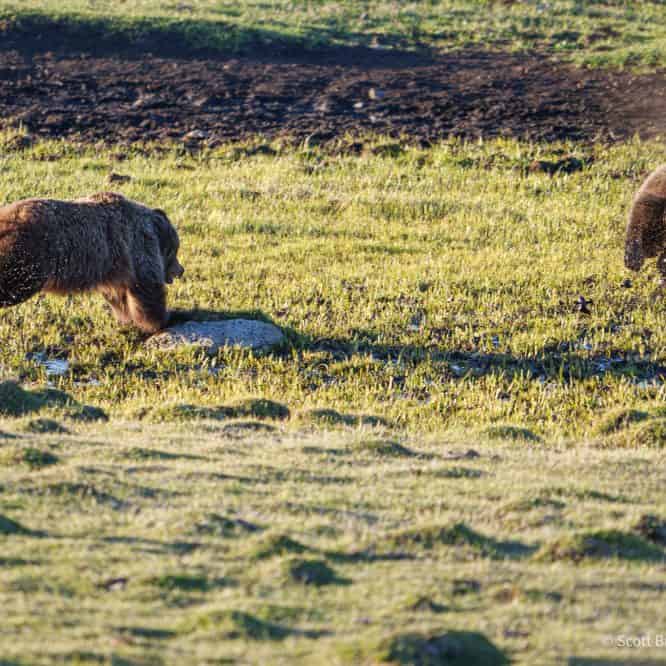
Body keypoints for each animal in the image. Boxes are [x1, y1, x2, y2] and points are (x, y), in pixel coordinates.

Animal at [0, 191, 184, 333]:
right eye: (175, 250)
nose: (181, 270)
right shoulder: (138, 247)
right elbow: (148, 288)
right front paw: (165, 319)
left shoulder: (116, 268)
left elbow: (120, 296)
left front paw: (129, 318)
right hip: (28, 257)